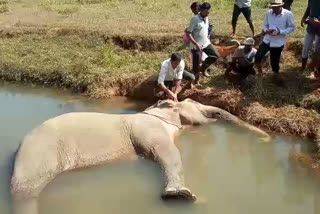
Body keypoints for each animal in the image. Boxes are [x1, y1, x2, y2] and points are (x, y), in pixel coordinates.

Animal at [10, 98, 270, 213]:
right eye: (194, 103)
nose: (267, 138)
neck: (153, 111)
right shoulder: (148, 129)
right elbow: (167, 153)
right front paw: (181, 196)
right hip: (38, 156)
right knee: (25, 191)